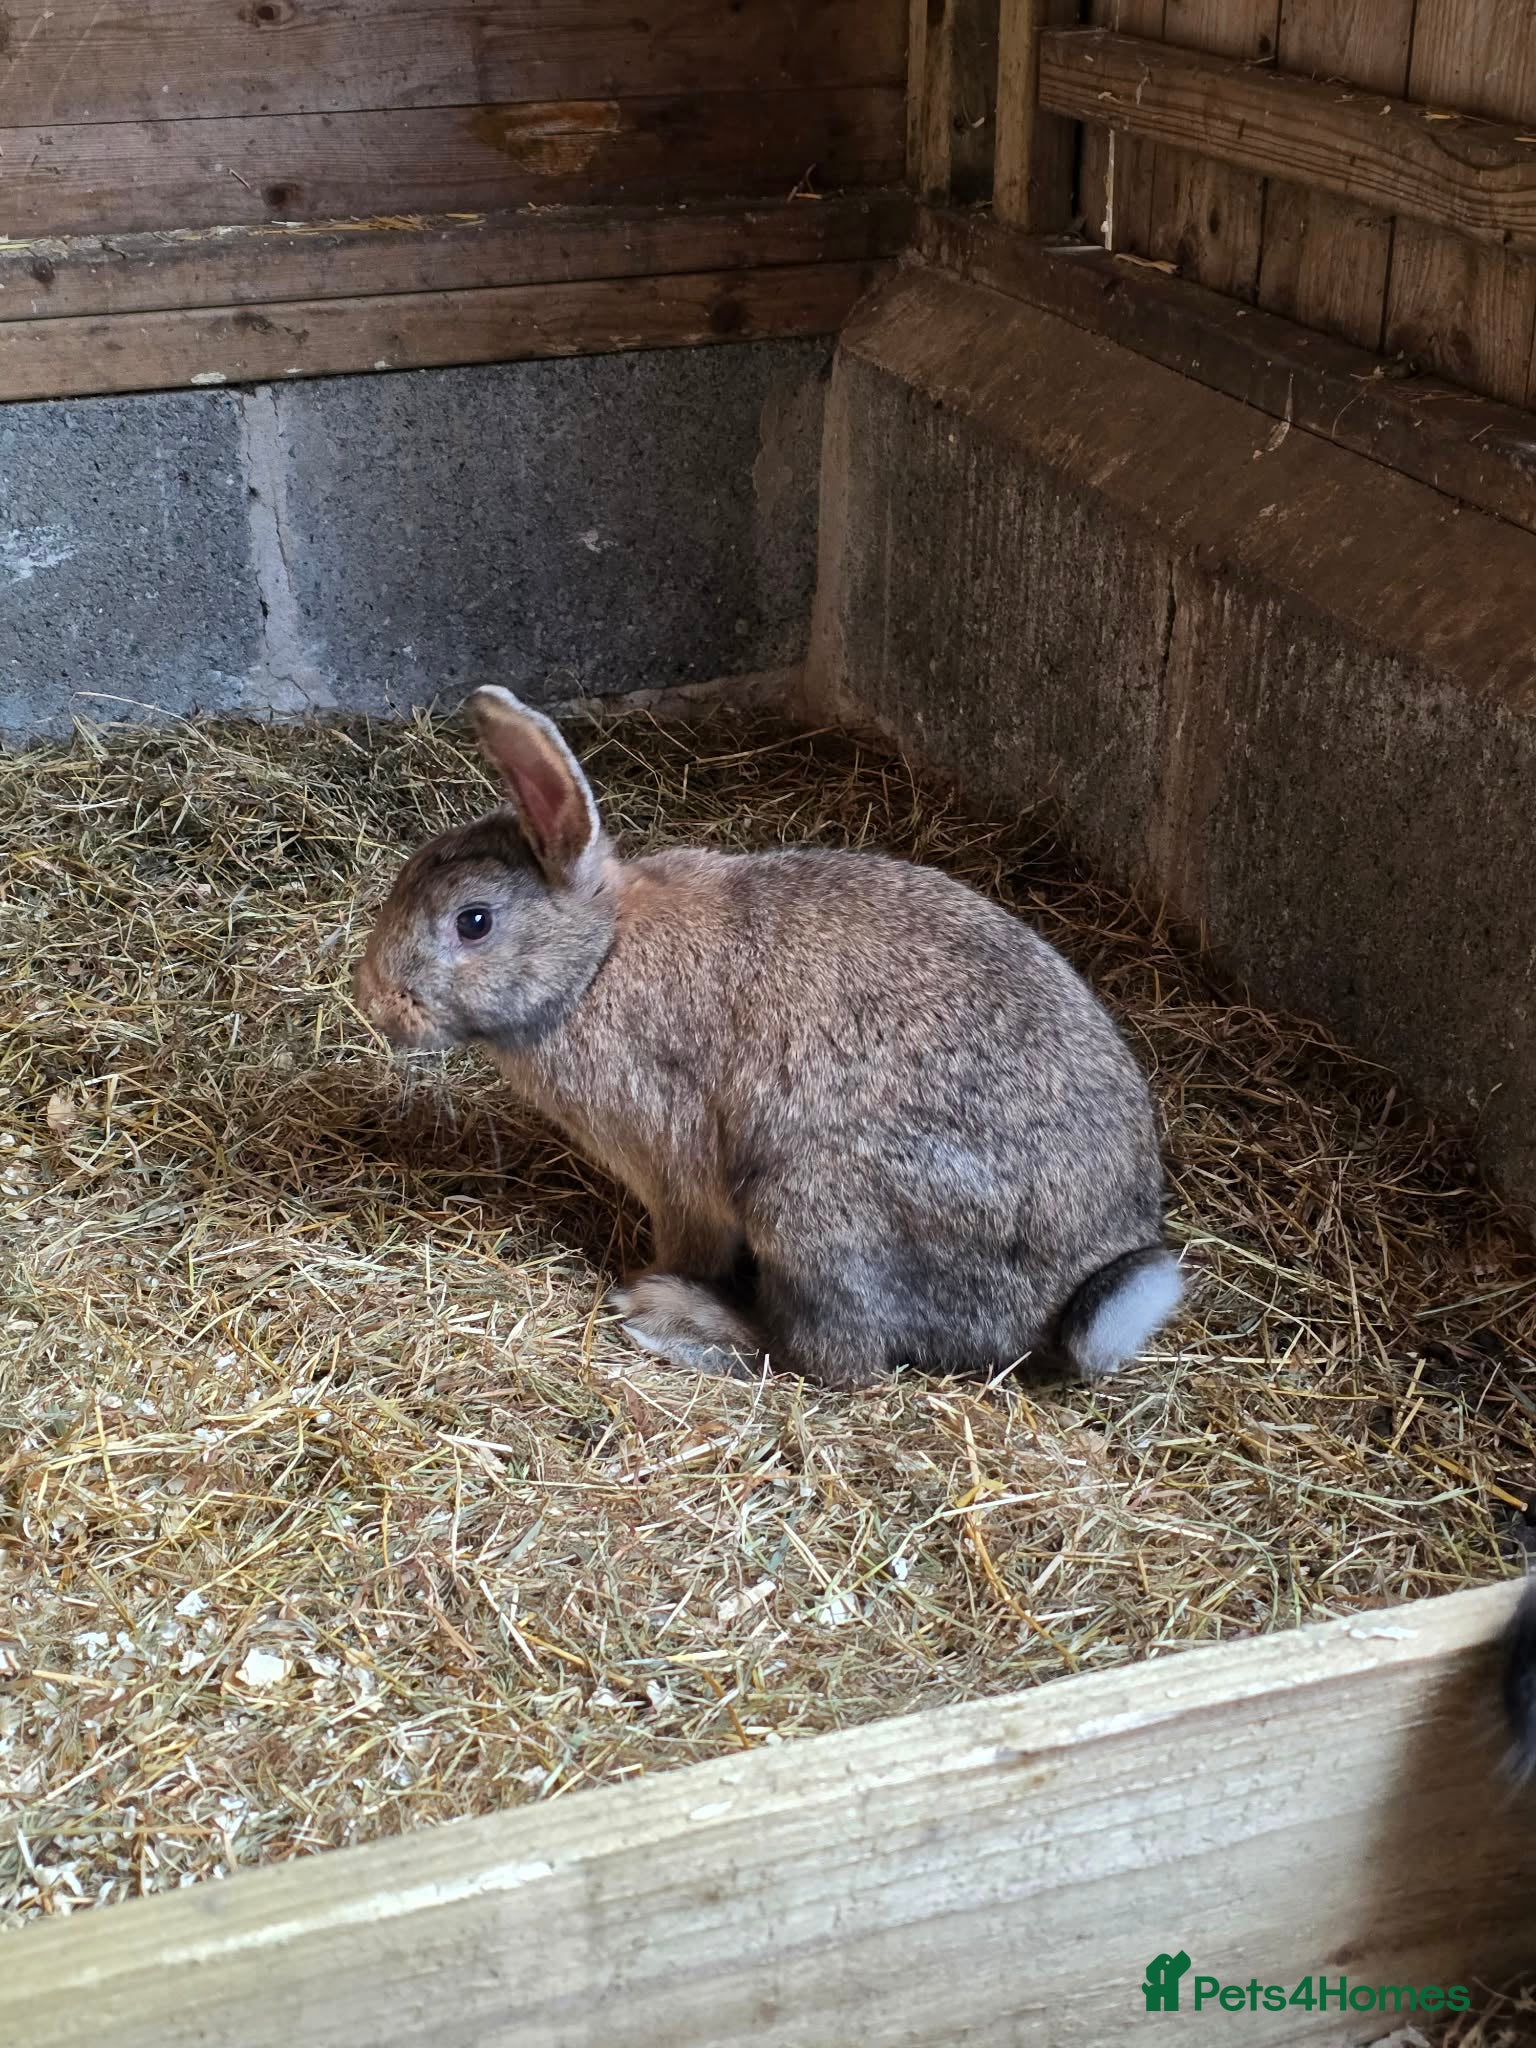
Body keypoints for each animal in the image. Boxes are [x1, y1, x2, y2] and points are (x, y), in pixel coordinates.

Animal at [352, 686, 1184, 1389]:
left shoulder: (677, 1168)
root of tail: (1063, 1309)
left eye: (474, 922)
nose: (377, 1003)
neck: (596, 961)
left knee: (832, 1360)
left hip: (808, 1204)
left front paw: (647, 1278)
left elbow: (692, 1241)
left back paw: (671, 1318)